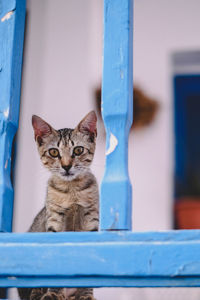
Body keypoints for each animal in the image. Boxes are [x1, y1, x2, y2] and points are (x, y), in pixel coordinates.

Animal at [17, 110, 98, 300]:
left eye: (78, 150)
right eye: (54, 152)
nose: (66, 166)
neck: (72, 191)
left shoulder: (91, 220)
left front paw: (86, 294)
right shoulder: (54, 220)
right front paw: (53, 293)